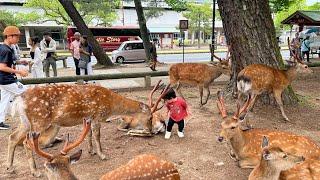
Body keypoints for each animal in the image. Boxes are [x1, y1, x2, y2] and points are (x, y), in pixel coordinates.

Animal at [7, 83, 168, 176]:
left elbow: (89, 134)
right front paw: (102, 155)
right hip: (39, 121)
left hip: (26, 122)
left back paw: (10, 168)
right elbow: (97, 135)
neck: (111, 105)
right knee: (26, 142)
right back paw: (35, 172)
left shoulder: (88, 118)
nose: (150, 130)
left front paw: (91, 151)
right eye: (150, 117)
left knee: (13, 137)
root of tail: (18, 100)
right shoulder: (97, 116)